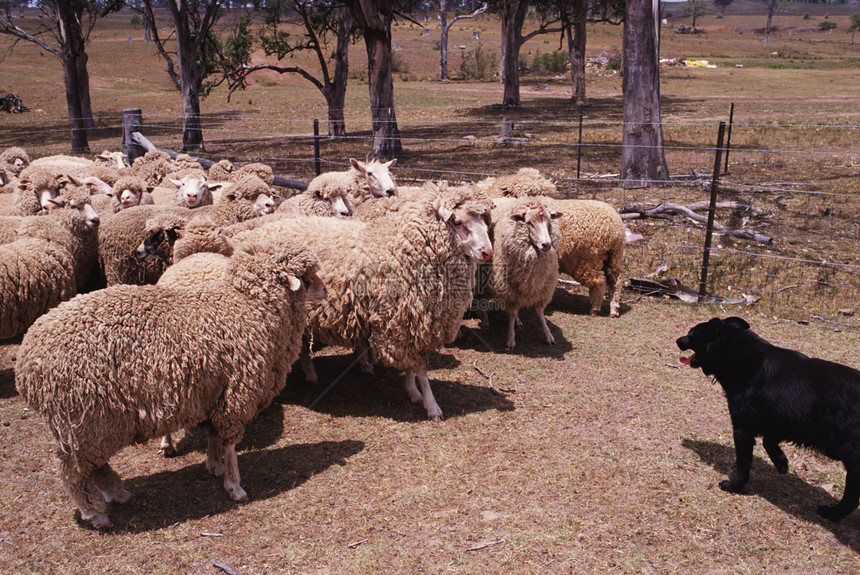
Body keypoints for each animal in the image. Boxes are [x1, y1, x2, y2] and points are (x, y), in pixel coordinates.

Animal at [16, 236, 326, 528]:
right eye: (308, 275)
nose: (325, 292)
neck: (248, 306)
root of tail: (26, 364)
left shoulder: (213, 392)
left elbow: (212, 435)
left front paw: (213, 466)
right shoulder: (235, 397)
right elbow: (229, 445)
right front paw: (234, 486)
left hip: (92, 424)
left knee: (94, 466)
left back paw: (118, 494)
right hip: (81, 419)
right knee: (73, 472)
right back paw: (95, 513)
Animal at [239, 182, 494, 420]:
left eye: (483, 220)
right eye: (457, 222)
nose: (487, 252)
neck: (403, 248)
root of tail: (257, 233)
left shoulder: (410, 322)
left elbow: (413, 368)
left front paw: (413, 392)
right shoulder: (400, 323)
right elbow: (420, 369)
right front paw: (431, 406)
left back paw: (311, 374)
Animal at [484, 197, 564, 352]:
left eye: (549, 222)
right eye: (529, 222)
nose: (546, 245)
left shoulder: (541, 289)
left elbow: (540, 312)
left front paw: (548, 335)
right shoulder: (509, 290)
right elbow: (512, 313)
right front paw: (510, 339)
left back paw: (518, 322)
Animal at [676, 316, 860, 520]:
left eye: (691, 333)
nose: (677, 340)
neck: (738, 354)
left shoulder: (743, 428)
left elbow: (743, 465)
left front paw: (734, 486)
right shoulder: (780, 419)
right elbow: (768, 441)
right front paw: (781, 463)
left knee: (852, 498)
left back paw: (832, 513)